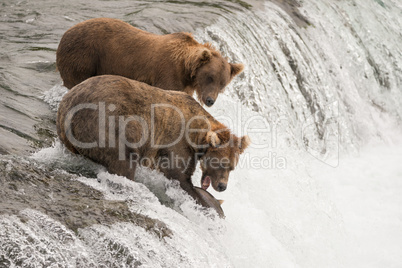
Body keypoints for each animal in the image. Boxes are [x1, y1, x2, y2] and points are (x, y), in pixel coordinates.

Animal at [55, 16, 245, 107]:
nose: (210, 100)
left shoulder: (185, 86)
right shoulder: (167, 74)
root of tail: (65, 34)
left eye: (223, 84)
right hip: (84, 56)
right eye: (210, 77)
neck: (186, 70)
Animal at [56, 75, 250, 209]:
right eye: (220, 163)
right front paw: (206, 201)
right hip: (107, 125)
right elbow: (178, 175)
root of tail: (67, 107)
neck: (196, 134)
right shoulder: (175, 142)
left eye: (232, 167)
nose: (222, 186)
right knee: (123, 161)